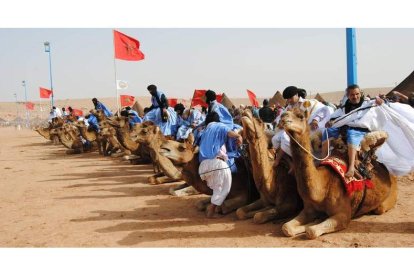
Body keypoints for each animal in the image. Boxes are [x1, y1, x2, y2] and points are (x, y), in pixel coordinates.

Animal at [280, 109, 396, 238]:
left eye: (300, 116)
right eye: (286, 112)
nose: (283, 117)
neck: (322, 187)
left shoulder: (343, 215)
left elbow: (312, 231)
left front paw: (315, 222)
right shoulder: (309, 209)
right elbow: (286, 227)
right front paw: (315, 220)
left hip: (386, 202)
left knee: (380, 208)